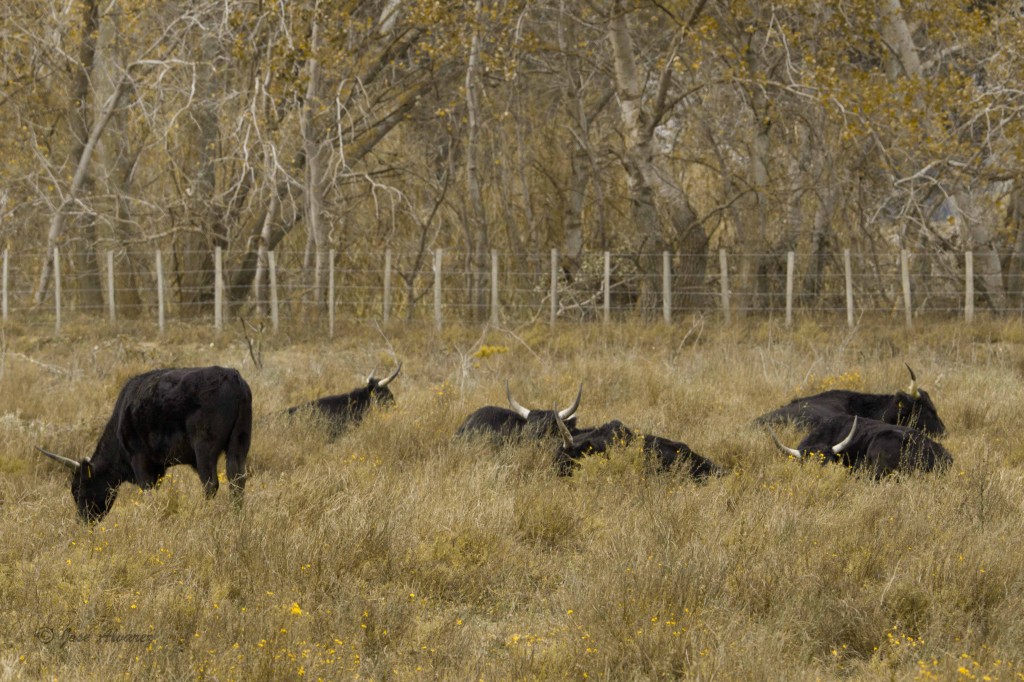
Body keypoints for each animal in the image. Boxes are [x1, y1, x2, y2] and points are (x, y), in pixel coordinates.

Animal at [37, 366, 252, 520]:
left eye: (78, 488)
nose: (81, 520)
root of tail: (231, 375)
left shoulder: (140, 460)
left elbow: (147, 491)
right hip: (239, 444)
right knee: (237, 479)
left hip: (205, 449)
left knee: (210, 483)